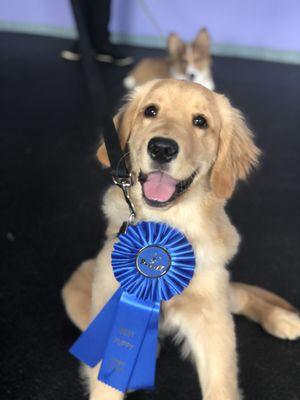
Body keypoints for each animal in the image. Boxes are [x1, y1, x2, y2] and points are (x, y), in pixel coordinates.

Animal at [62, 79, 298, 400]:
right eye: (150, 111)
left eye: (201, 122)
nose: (162, 148)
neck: (167, 225)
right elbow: (105, 386)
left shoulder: (212, 320)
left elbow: (221, 386)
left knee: (243, 296)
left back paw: (284, 320)